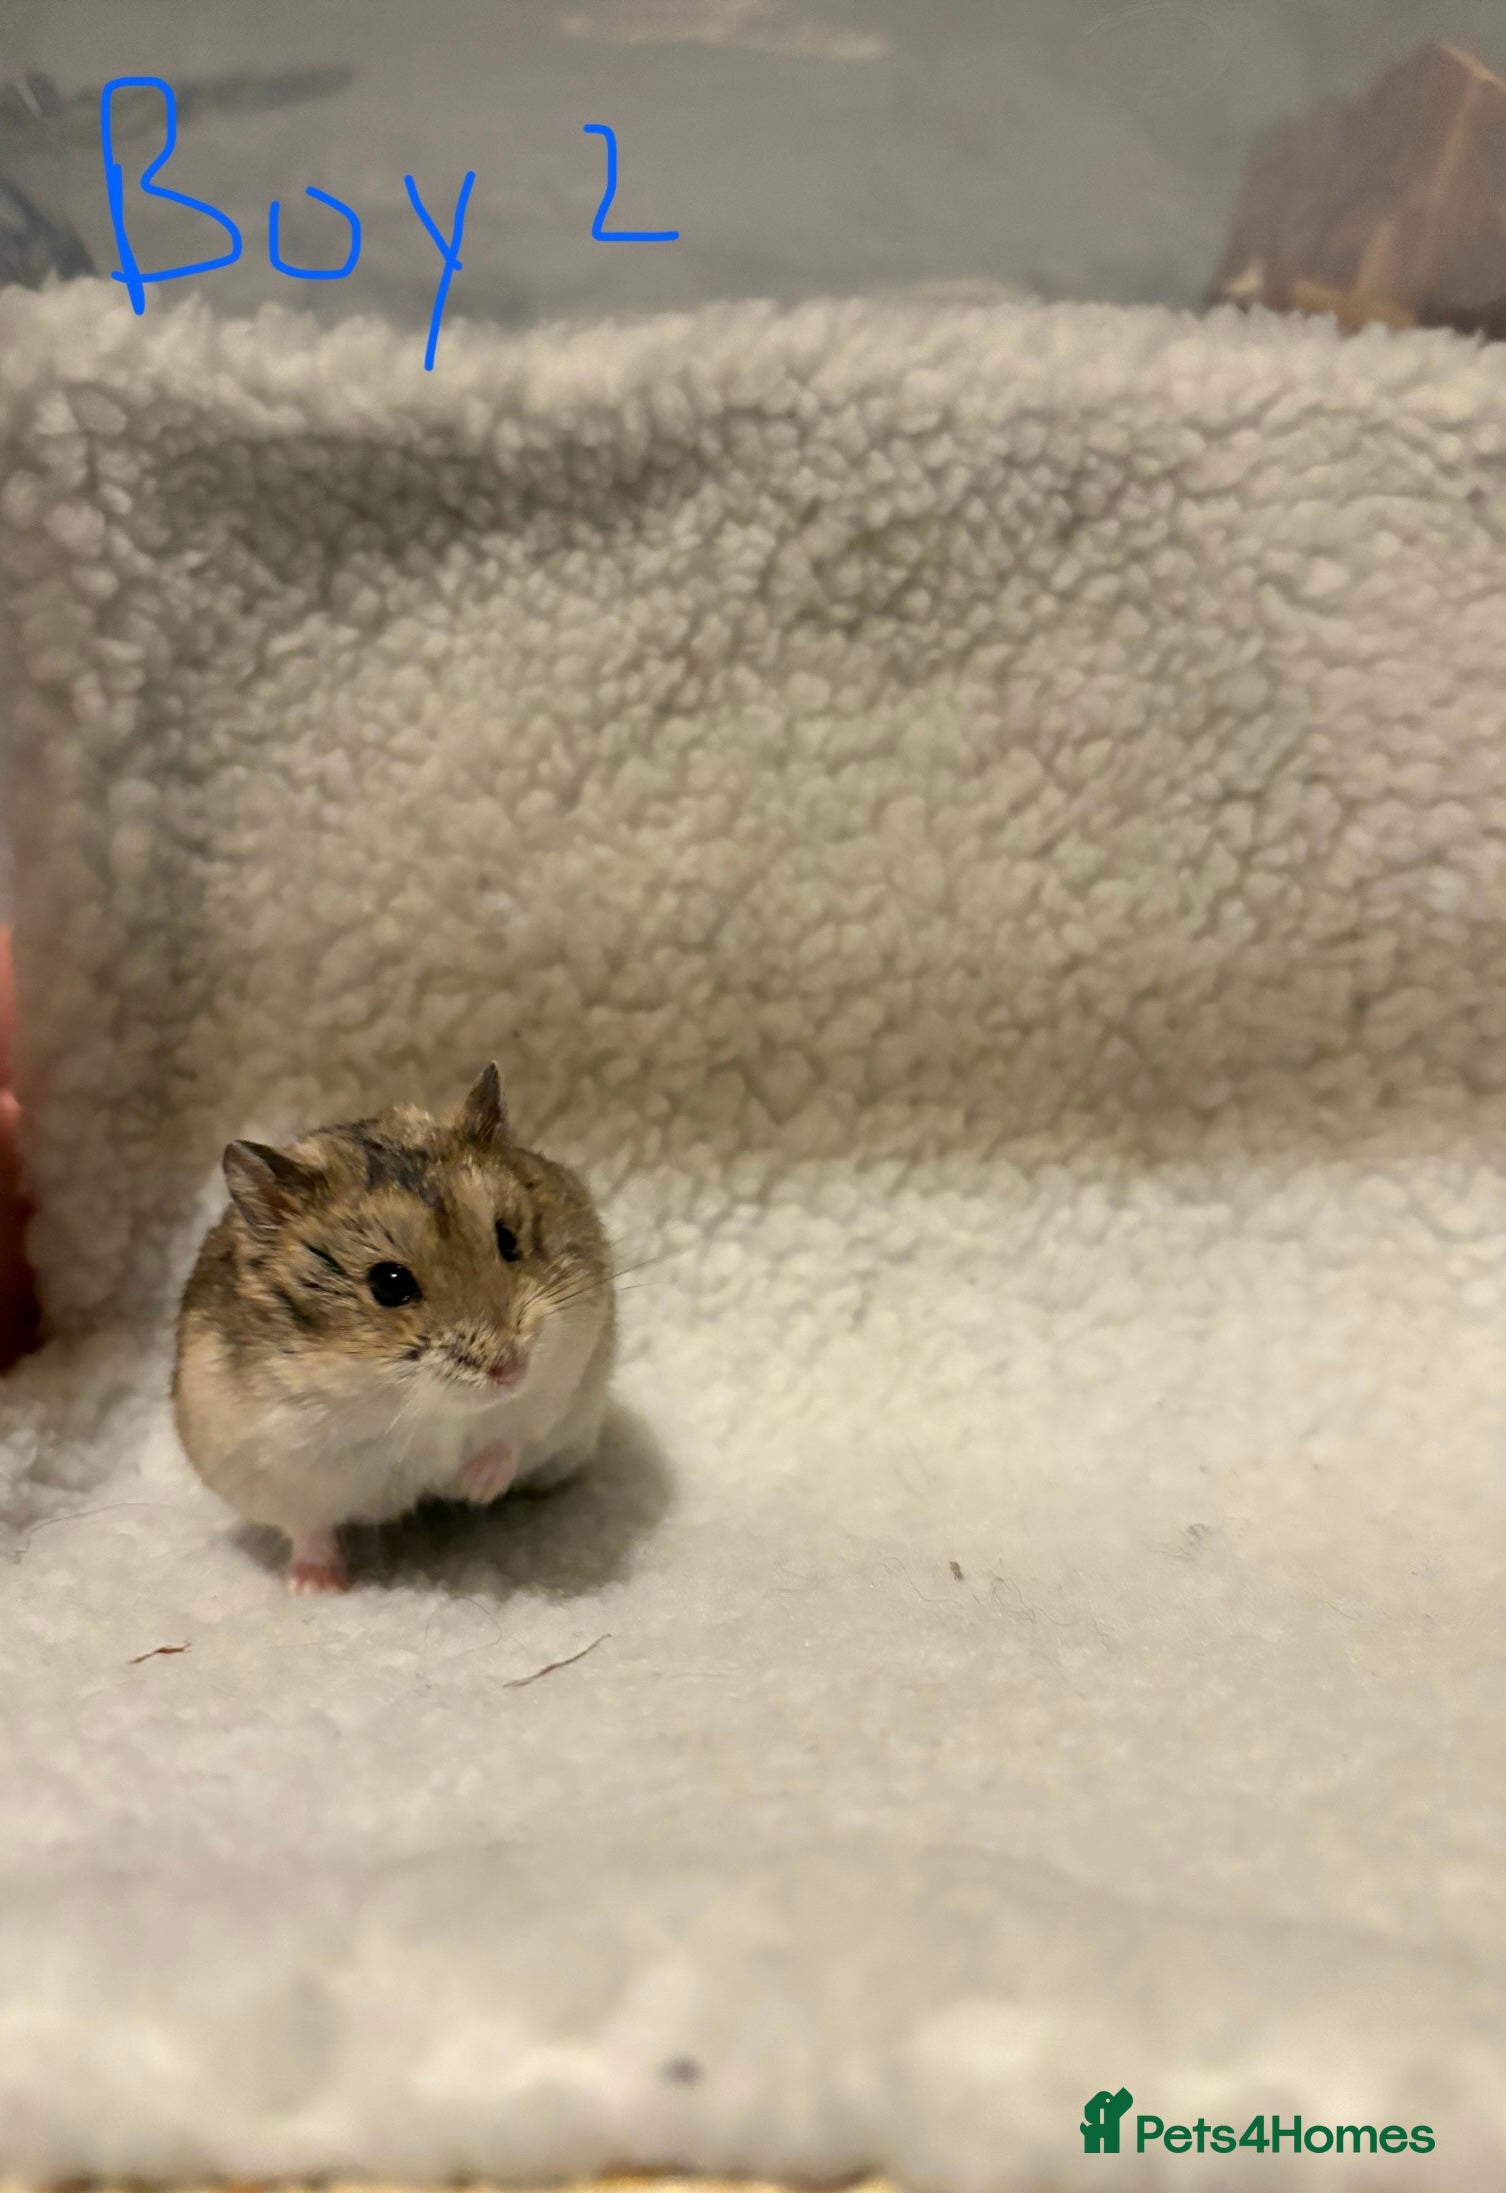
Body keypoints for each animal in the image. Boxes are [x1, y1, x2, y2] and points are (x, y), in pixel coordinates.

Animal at [171, 1064, 616, 1593]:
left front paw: (473, 1488)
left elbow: (509, 1436)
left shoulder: (564, 1373)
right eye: (388, 1284)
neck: (424, 1407)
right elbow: (307, 1528)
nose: (510, 1371)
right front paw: (314, 1590)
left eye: (508, 1240)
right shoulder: (273, 1462)